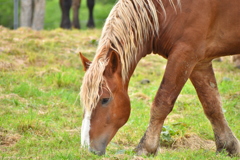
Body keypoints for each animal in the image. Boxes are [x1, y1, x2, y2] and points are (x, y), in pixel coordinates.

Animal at [79, 0, 240, 156]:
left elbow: (161, 103)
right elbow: (212, 105)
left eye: (105, 99)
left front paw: (146, 148)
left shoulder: (184, 55)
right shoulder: (199, 63)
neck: (167, 10)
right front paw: (227, 147)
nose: (88, 149)